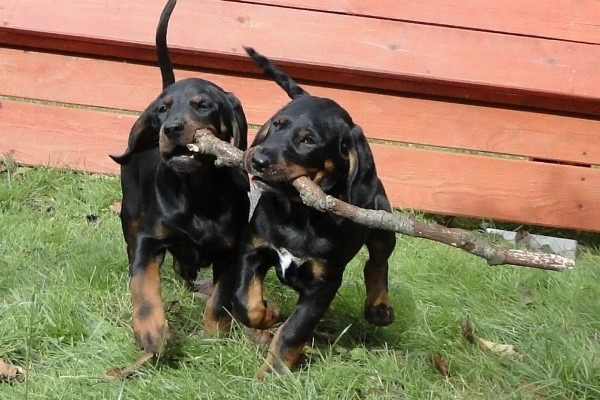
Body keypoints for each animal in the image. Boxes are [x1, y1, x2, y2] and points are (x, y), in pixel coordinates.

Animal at [110, 0, 248, 356]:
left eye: (203, 105)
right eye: (162, 110)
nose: (171, 128)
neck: (196, 192)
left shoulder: (231, 252)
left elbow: (220, 298)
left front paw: (215, 335)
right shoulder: (148, 238)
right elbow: (143, 284)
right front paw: (152, 331)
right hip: (130, 212)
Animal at [234, 48, 398, 376]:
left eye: (308, 140)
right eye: (277, 125)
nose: (257, 160)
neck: (298, 216)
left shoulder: (323, 285)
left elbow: (293, 332)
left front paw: (272, 373)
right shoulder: (252, 249)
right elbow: (247, 303)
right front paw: (268, 314)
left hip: (382, 221)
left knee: (377, 261)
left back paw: (379, 307)